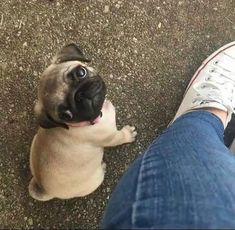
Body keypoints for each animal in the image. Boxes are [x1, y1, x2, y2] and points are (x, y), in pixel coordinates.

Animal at [28, 44, 137, 200]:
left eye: (80, 72)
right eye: (66, 115)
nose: (80, 95)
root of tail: (45, 190)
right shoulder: (110, 137)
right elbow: (120, 136)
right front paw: (128, 134)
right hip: (95, 179)